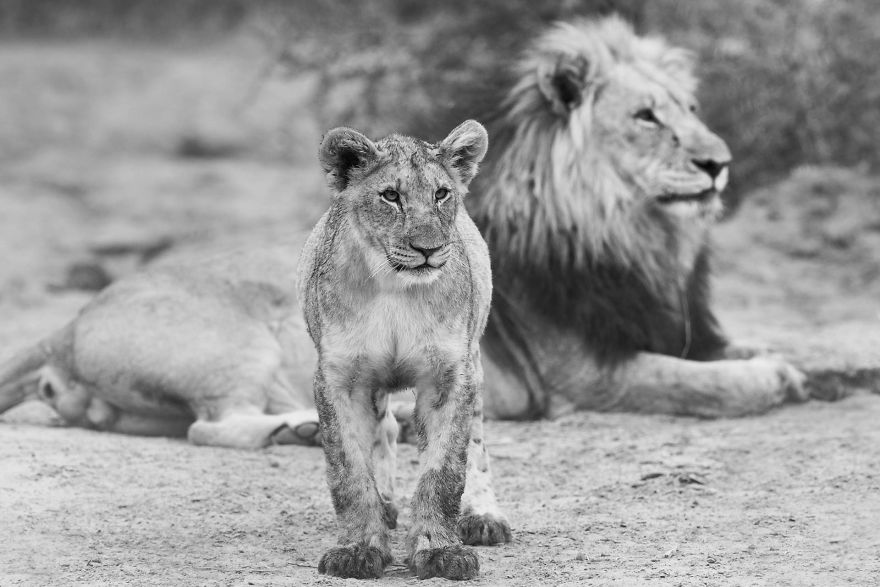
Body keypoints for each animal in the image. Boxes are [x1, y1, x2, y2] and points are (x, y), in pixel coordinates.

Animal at [301, 120, 500, 580]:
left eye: (441, 194)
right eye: (390, 196)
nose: (429, 248)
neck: (394, 288)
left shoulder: (449, 377)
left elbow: (444, 471)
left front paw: (440, 551)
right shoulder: (339, 379)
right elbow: (350, 471)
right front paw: (358, 549)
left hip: (475, 360)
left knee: (478, 440)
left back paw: (484, 516)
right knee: (385, 430)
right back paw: (388, 503)